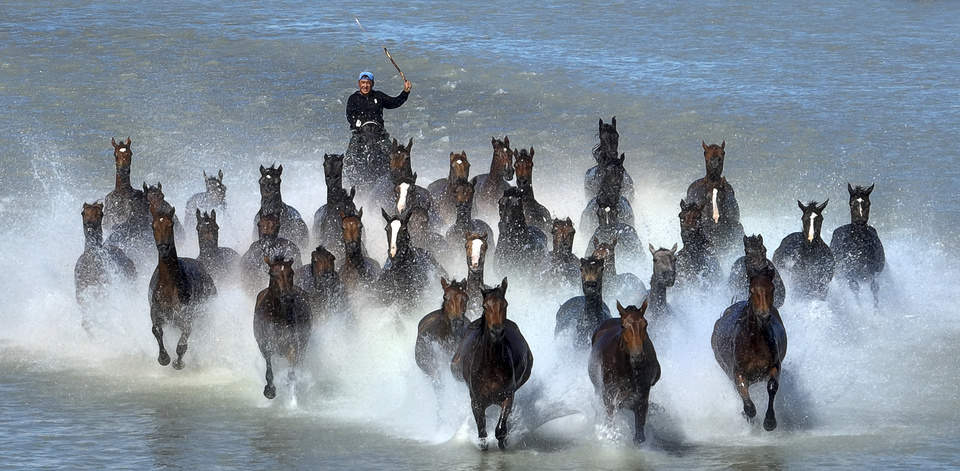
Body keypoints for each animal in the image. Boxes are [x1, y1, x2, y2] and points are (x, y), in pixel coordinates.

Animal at [148, 202, 217, 370]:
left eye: (170, 224)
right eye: (153, 225)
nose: (163, 248)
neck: (169, 287)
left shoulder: (187, 318)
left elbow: (182, 344)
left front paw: (178, 363)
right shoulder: (155, 312)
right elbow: (156, 330)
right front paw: (163, 358)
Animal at [254, 256, 312, 399]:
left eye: (291, 273)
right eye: (272, 274)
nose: (287, 297)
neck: (277, 317)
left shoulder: (293, 346)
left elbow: (291, 373)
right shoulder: (265, 345)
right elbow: (269, 367)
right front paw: (269, 391)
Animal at [451, 278, 533, 450]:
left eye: (505, 304)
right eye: (485, 306)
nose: (497, 331)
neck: (491, 364)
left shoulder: (507, 396)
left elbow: (500, 430)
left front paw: (504, 441)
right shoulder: (476, 401)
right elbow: (482, 433)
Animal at [589, 300, 660, 445]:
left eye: (645, 324)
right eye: (623, 326)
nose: (637, 357)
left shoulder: (641, 399)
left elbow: (639, 436)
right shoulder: (609, 397)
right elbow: (611, 423)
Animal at [711, 266, 787, 431]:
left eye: (772, 288)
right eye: (752, 290)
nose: (764, 316)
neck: (755, 343)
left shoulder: (774, 365)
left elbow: (772, 386)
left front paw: (769, 422)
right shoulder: (737, 372)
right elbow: (743, 391)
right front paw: (749, 414)